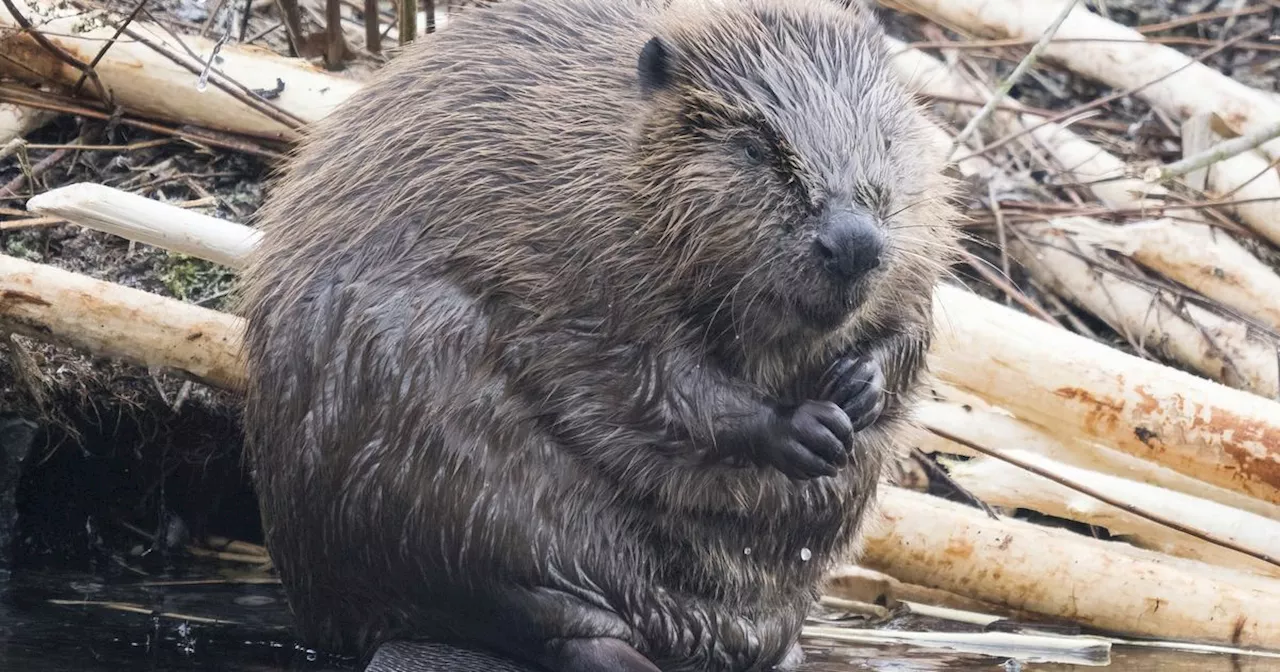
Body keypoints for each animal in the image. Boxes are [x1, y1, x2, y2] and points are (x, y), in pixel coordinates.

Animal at [235, 0, 957, 665]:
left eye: (886, 140)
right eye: (755, 146)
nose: (853, 241)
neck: (611, 143)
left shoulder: (918, 247)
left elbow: (912, 327)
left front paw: (859, 386)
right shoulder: (587, 247)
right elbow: (648, 375)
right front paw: (806, 429)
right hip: (440, 465)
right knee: (521, 604)